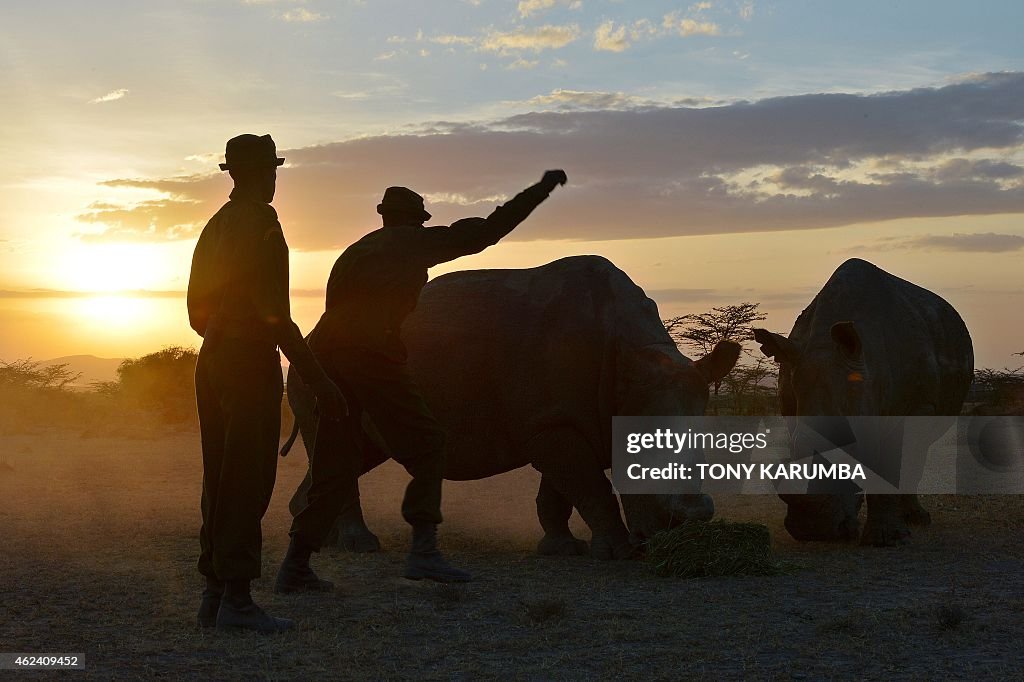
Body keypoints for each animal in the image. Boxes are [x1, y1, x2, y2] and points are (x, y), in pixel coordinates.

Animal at [284, 254, 741, 557]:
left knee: (358, 452)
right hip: (322, 367)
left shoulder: (557, 419)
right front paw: (615, 552)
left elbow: (561, 491)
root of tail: (312, 331)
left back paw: (319, 538)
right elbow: (590, 487)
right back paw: (359, 546)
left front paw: (562, 550)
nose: (684, 527)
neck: (630, 360)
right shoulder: (553, 422)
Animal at [753, 258, 974, 544]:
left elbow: (893, 462)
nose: (813, 532)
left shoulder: (915, 406)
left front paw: (887, 540)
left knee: (917, 451)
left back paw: (917, 520)